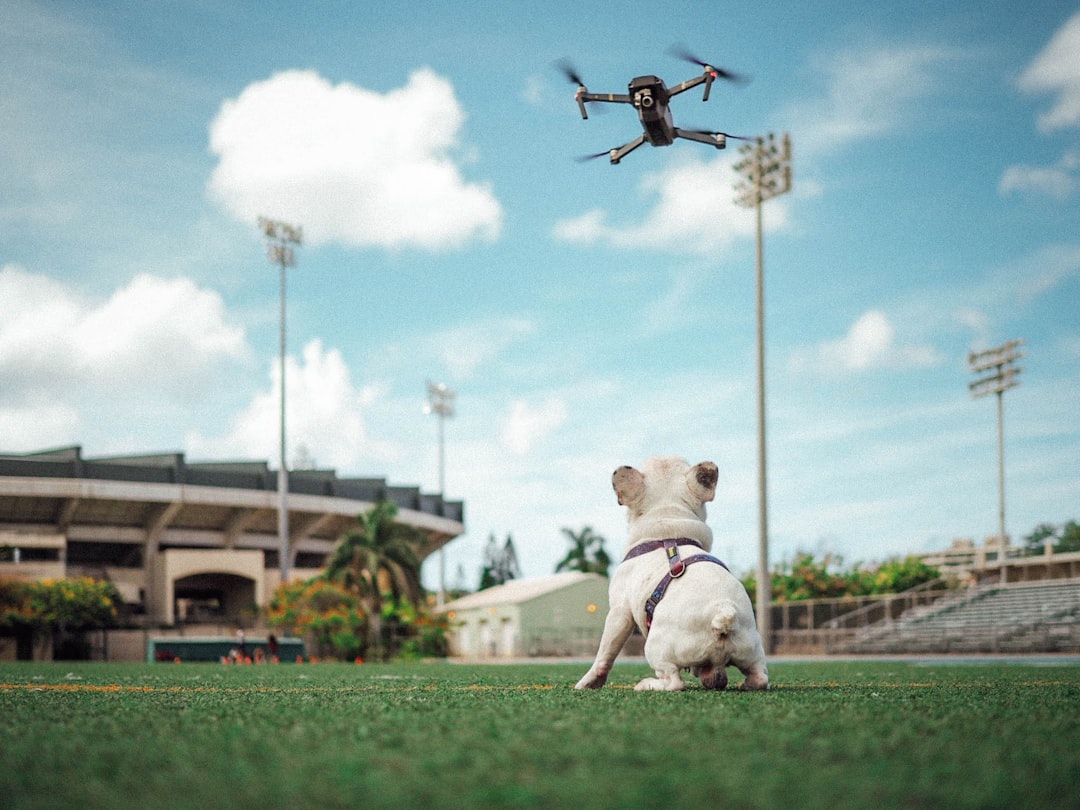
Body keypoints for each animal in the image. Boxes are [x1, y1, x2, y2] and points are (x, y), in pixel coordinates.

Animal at [574, 457, 768, 691]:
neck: (667, 523)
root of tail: (723, 613)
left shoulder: (620, 611)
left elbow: (606, 651)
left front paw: (587, 682)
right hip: (752, 648)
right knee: (759, 677)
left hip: (655, 648)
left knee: (674, 681)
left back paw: (647, 684)